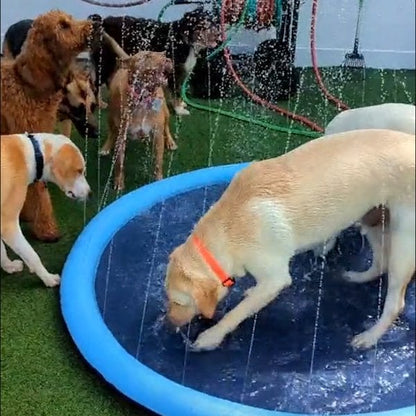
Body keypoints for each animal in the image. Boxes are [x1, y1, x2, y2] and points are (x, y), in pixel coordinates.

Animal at [0, 133, 90, 286]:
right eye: (79, 171)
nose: (90, 194)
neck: (32, 154)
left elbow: (1, 251)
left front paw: (9, 266)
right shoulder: (8, 224)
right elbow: (32, 255)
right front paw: (48, 278)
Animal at [1, 9, 94, 240]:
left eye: (70, 19)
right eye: (63, 25)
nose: (95, 24)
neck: (26, 84)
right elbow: (39, 189)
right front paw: (46, 229)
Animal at [98, 34, 176, 190]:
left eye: (162, 55)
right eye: (146, 56)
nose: (167, 59)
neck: (142, 99)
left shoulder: (158, 135)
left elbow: (158, 162)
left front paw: (159, 180)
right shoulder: (122, 135)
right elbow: (119, 162)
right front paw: (119, 182)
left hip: (165, 113)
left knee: (166, 127)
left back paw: (170, 141)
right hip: (110, 116)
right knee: (111, 132)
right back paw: (106, 147)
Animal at [166, 129, 416, 352]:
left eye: (178, 302)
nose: (170, 322)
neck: (229, 227)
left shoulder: (276, 278)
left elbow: (236, 312)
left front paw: (210, 337)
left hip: (403, 242)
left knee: (396, 302)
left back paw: (369, 337)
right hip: (373, 217)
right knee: (381, 261)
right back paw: (357, 277)